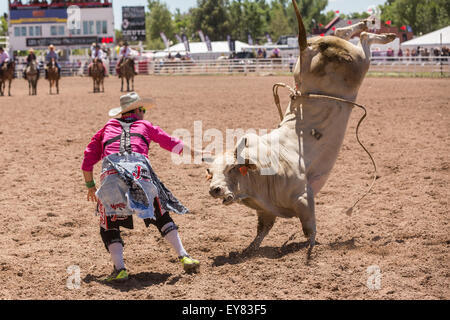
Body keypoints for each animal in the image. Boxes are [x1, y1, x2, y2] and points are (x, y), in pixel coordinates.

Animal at [204, 0, 394, 255]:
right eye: (210, 171)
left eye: (232, 168)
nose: (214, 189)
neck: (263, 171)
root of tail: (307, 50)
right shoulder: (265, 211)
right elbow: (261, 231)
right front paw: (249, 251)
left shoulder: (304, 198)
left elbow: (309, 228)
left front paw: (310, 249)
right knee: (341, 32)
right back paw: (366, 24)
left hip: (357, 62)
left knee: (362, 39)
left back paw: (381, 32)